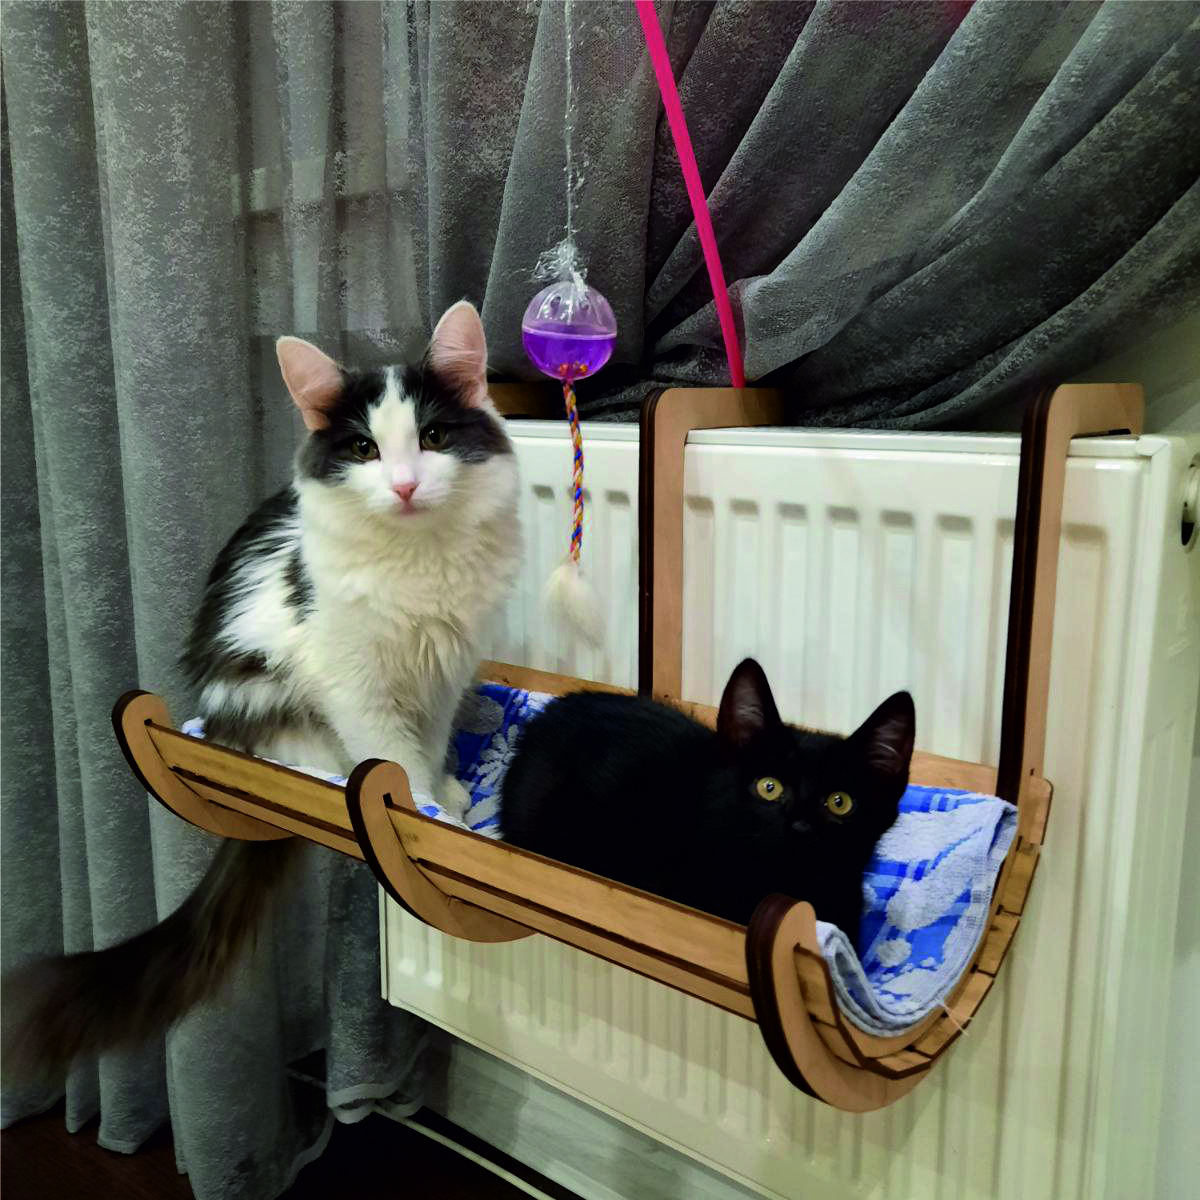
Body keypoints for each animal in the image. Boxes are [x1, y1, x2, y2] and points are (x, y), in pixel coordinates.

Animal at [5, 301, 521, 1077]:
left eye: (432, 438)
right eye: (365, 449)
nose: (404, 485)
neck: (417, 561)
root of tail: (217, 725)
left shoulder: (442, 671)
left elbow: (427, 746)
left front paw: (444, 798)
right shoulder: (354, 679)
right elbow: (394, 758)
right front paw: (425, 812)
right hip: (268, 693)